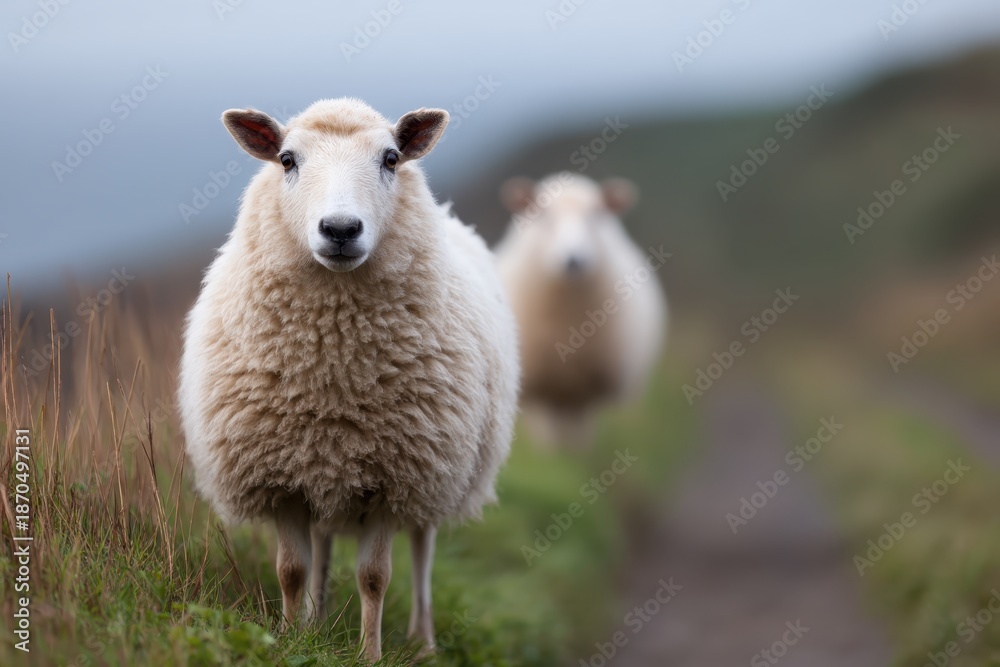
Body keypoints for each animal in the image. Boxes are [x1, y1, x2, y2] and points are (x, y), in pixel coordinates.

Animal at [178, 98, 519, 662]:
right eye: (287, 160)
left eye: (391, 158)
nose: (340, 229)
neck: (333, 370)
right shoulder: (281, 478)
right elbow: (291, 571)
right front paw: (290, 639)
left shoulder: (394, 476)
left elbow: (374, 578)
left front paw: (370, 655)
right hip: (324, 470)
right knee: (321, 548)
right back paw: (316, 622)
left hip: (439, 468)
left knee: (422, 551)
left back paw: (424, 642)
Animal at [494, 172, 666, 448]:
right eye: (543, 215)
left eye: (596, 213)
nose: (573, 260)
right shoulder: (537, 391)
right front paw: (552, 457)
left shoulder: (595, 389)